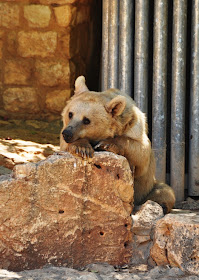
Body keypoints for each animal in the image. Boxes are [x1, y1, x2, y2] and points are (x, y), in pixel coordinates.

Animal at [59, 75, 175, 213]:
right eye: (70, 114)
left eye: (86, 120)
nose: (67, 133)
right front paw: (82, 148)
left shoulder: (135, 127)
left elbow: (142, 152)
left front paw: (106, 144)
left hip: (148, 187)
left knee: (164, 191)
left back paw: (161, 205)